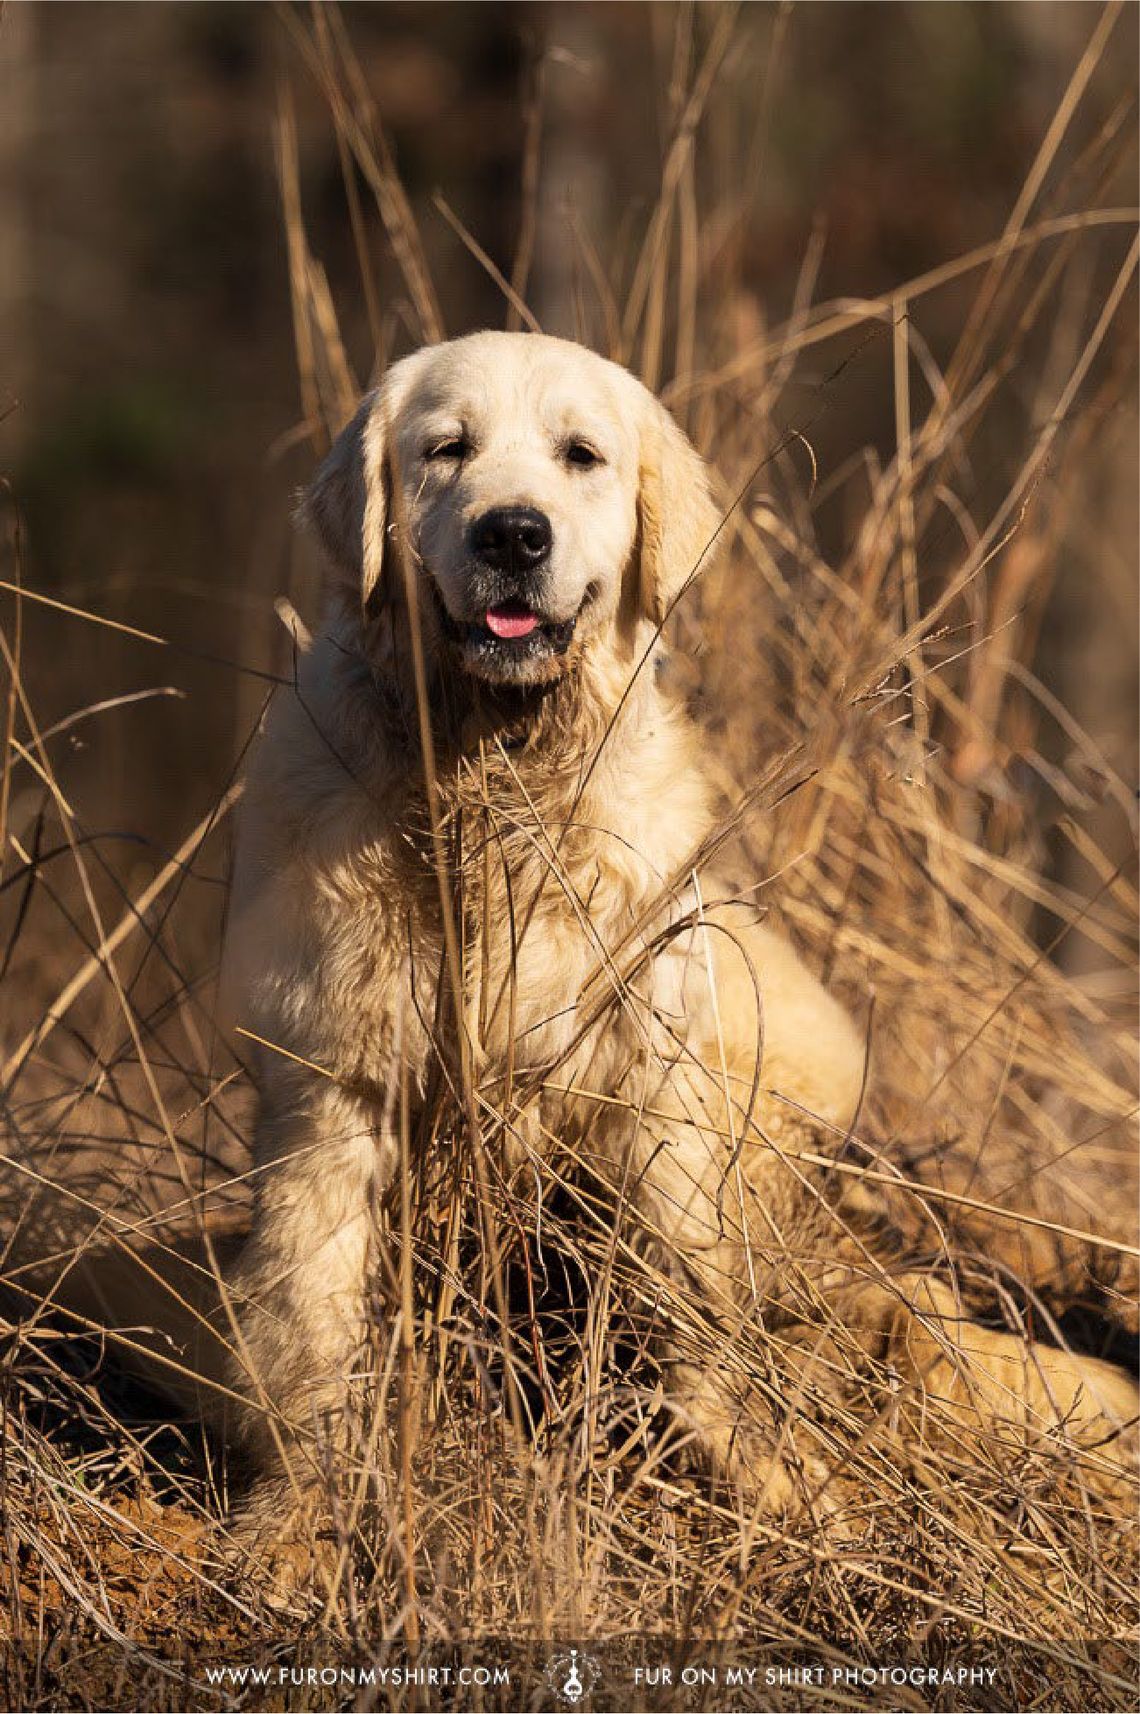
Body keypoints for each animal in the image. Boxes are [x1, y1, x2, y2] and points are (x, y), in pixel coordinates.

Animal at [217, 330, 1131, 1570]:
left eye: (581, 455)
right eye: (446, 449)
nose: (513, 533)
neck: (495, 784)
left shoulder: (654, 1086)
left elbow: (685, 1301)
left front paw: (762, 1479)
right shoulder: (332, 1082)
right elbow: (306, 1312)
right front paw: (295, 1519)